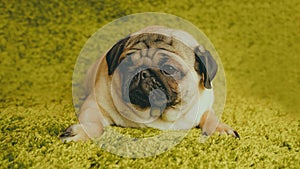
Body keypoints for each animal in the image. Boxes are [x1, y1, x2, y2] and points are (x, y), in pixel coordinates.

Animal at [59, 26, 240, 143]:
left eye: (169, 69)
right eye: (127, 63)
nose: (142, 72)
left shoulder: (204, 108)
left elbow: (211, 118)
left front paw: (221, 129)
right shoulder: (96, 105)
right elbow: (94, 124)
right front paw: (81, 132)